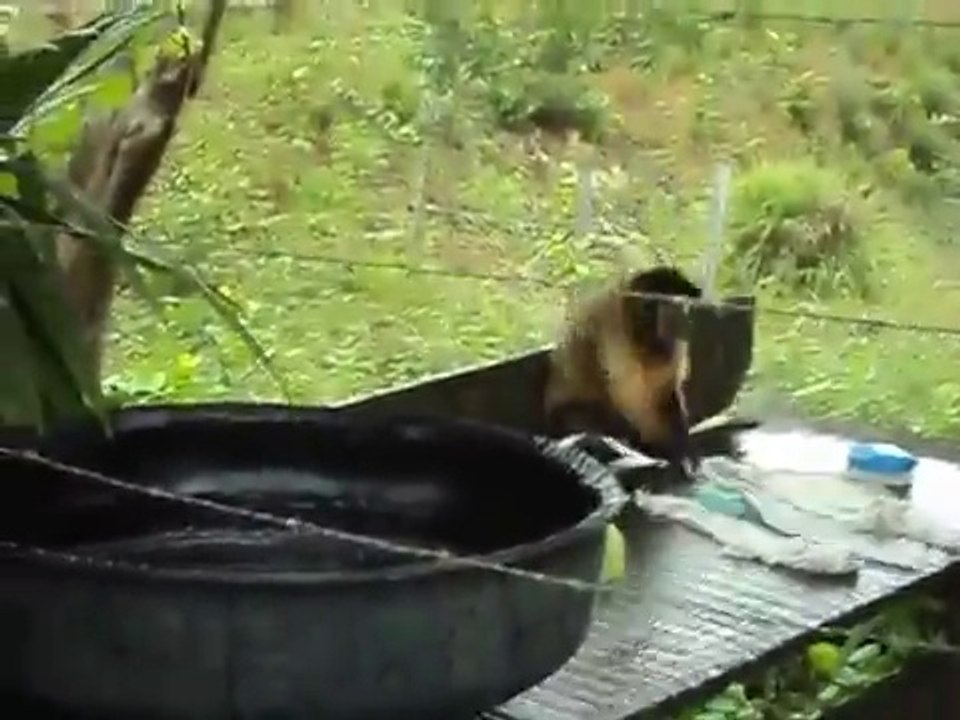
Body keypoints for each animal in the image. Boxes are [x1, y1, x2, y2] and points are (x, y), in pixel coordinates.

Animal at [542, 265, 703, 477]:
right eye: (664, 313)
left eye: (680, 312)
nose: (679, 326)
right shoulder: (612, 333)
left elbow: (666, 393)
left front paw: (683, 453)